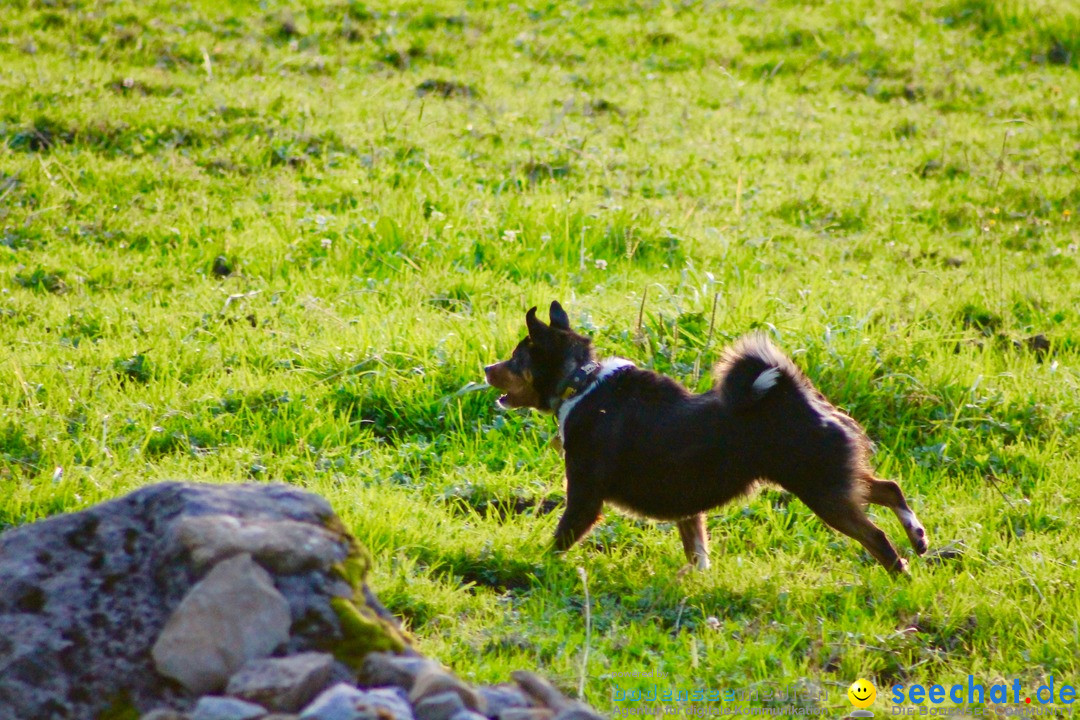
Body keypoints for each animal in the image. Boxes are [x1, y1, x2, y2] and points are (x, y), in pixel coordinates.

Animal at [483, 302, 928, 569]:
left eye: (516, 358)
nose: (487, 368)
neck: (581, 384)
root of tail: (797, 396)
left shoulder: (584, 499)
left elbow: (559, 539)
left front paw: (537, 566)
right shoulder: (688, 511)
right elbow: (697, 552)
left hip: (823, 492)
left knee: (877, 536)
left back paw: (900, 573)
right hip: (836, 480)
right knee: (889, 487)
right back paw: (918, 537)